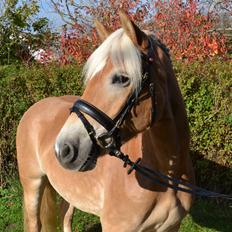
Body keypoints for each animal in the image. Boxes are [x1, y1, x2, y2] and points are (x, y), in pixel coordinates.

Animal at [15, 10, 194, 232]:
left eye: (122, 78)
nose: (64, 148)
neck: (165, 176)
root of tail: (36, 106)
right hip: (32, 185)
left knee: (66, 216)